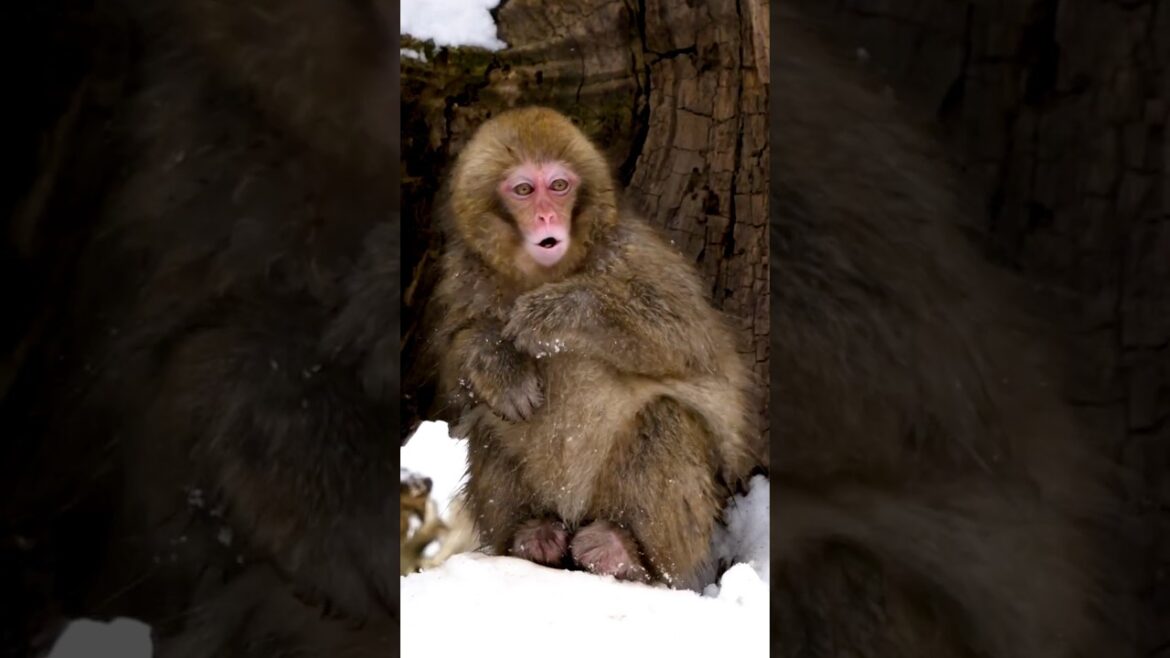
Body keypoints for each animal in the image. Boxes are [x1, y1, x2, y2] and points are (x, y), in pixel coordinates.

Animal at [428, 106, 756, 589]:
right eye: (524, 190)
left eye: (559, 186)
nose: (547, 218)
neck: (548, 273)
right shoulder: (464, 275)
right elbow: (456, 364)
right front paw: (499, 364)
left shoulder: (631, 253)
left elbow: (687, 338)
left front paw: (559, 312)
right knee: (489, 425)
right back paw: (533, 539)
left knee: (665, 418)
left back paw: (626, 554)